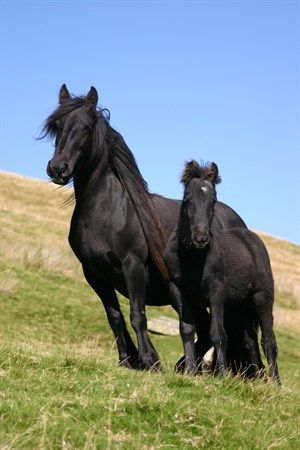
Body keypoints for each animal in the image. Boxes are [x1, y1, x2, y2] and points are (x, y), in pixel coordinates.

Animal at [44, 83, 246, 370]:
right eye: (57, 125)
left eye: (86, 126)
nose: (58, 169)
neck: (107, 210)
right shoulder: (94, 273)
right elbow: (115, 317)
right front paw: (127, 359)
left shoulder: (134, 266)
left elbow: (137, 315)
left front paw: (149, 360)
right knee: (205, 328)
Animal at [166, 159, 282, 384]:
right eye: (187, 199)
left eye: (213, 201)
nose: (200, 237)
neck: (192, 258)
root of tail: (252, 239)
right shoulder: (179, 290)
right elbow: (187, 329)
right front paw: (190, 371)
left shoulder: (216, 293)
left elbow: (217, 333)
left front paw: (222, 375)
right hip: (238, 308)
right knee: (249, 341)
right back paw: (254, 380)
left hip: (262, 298)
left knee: (268, 341)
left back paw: (275, 383)